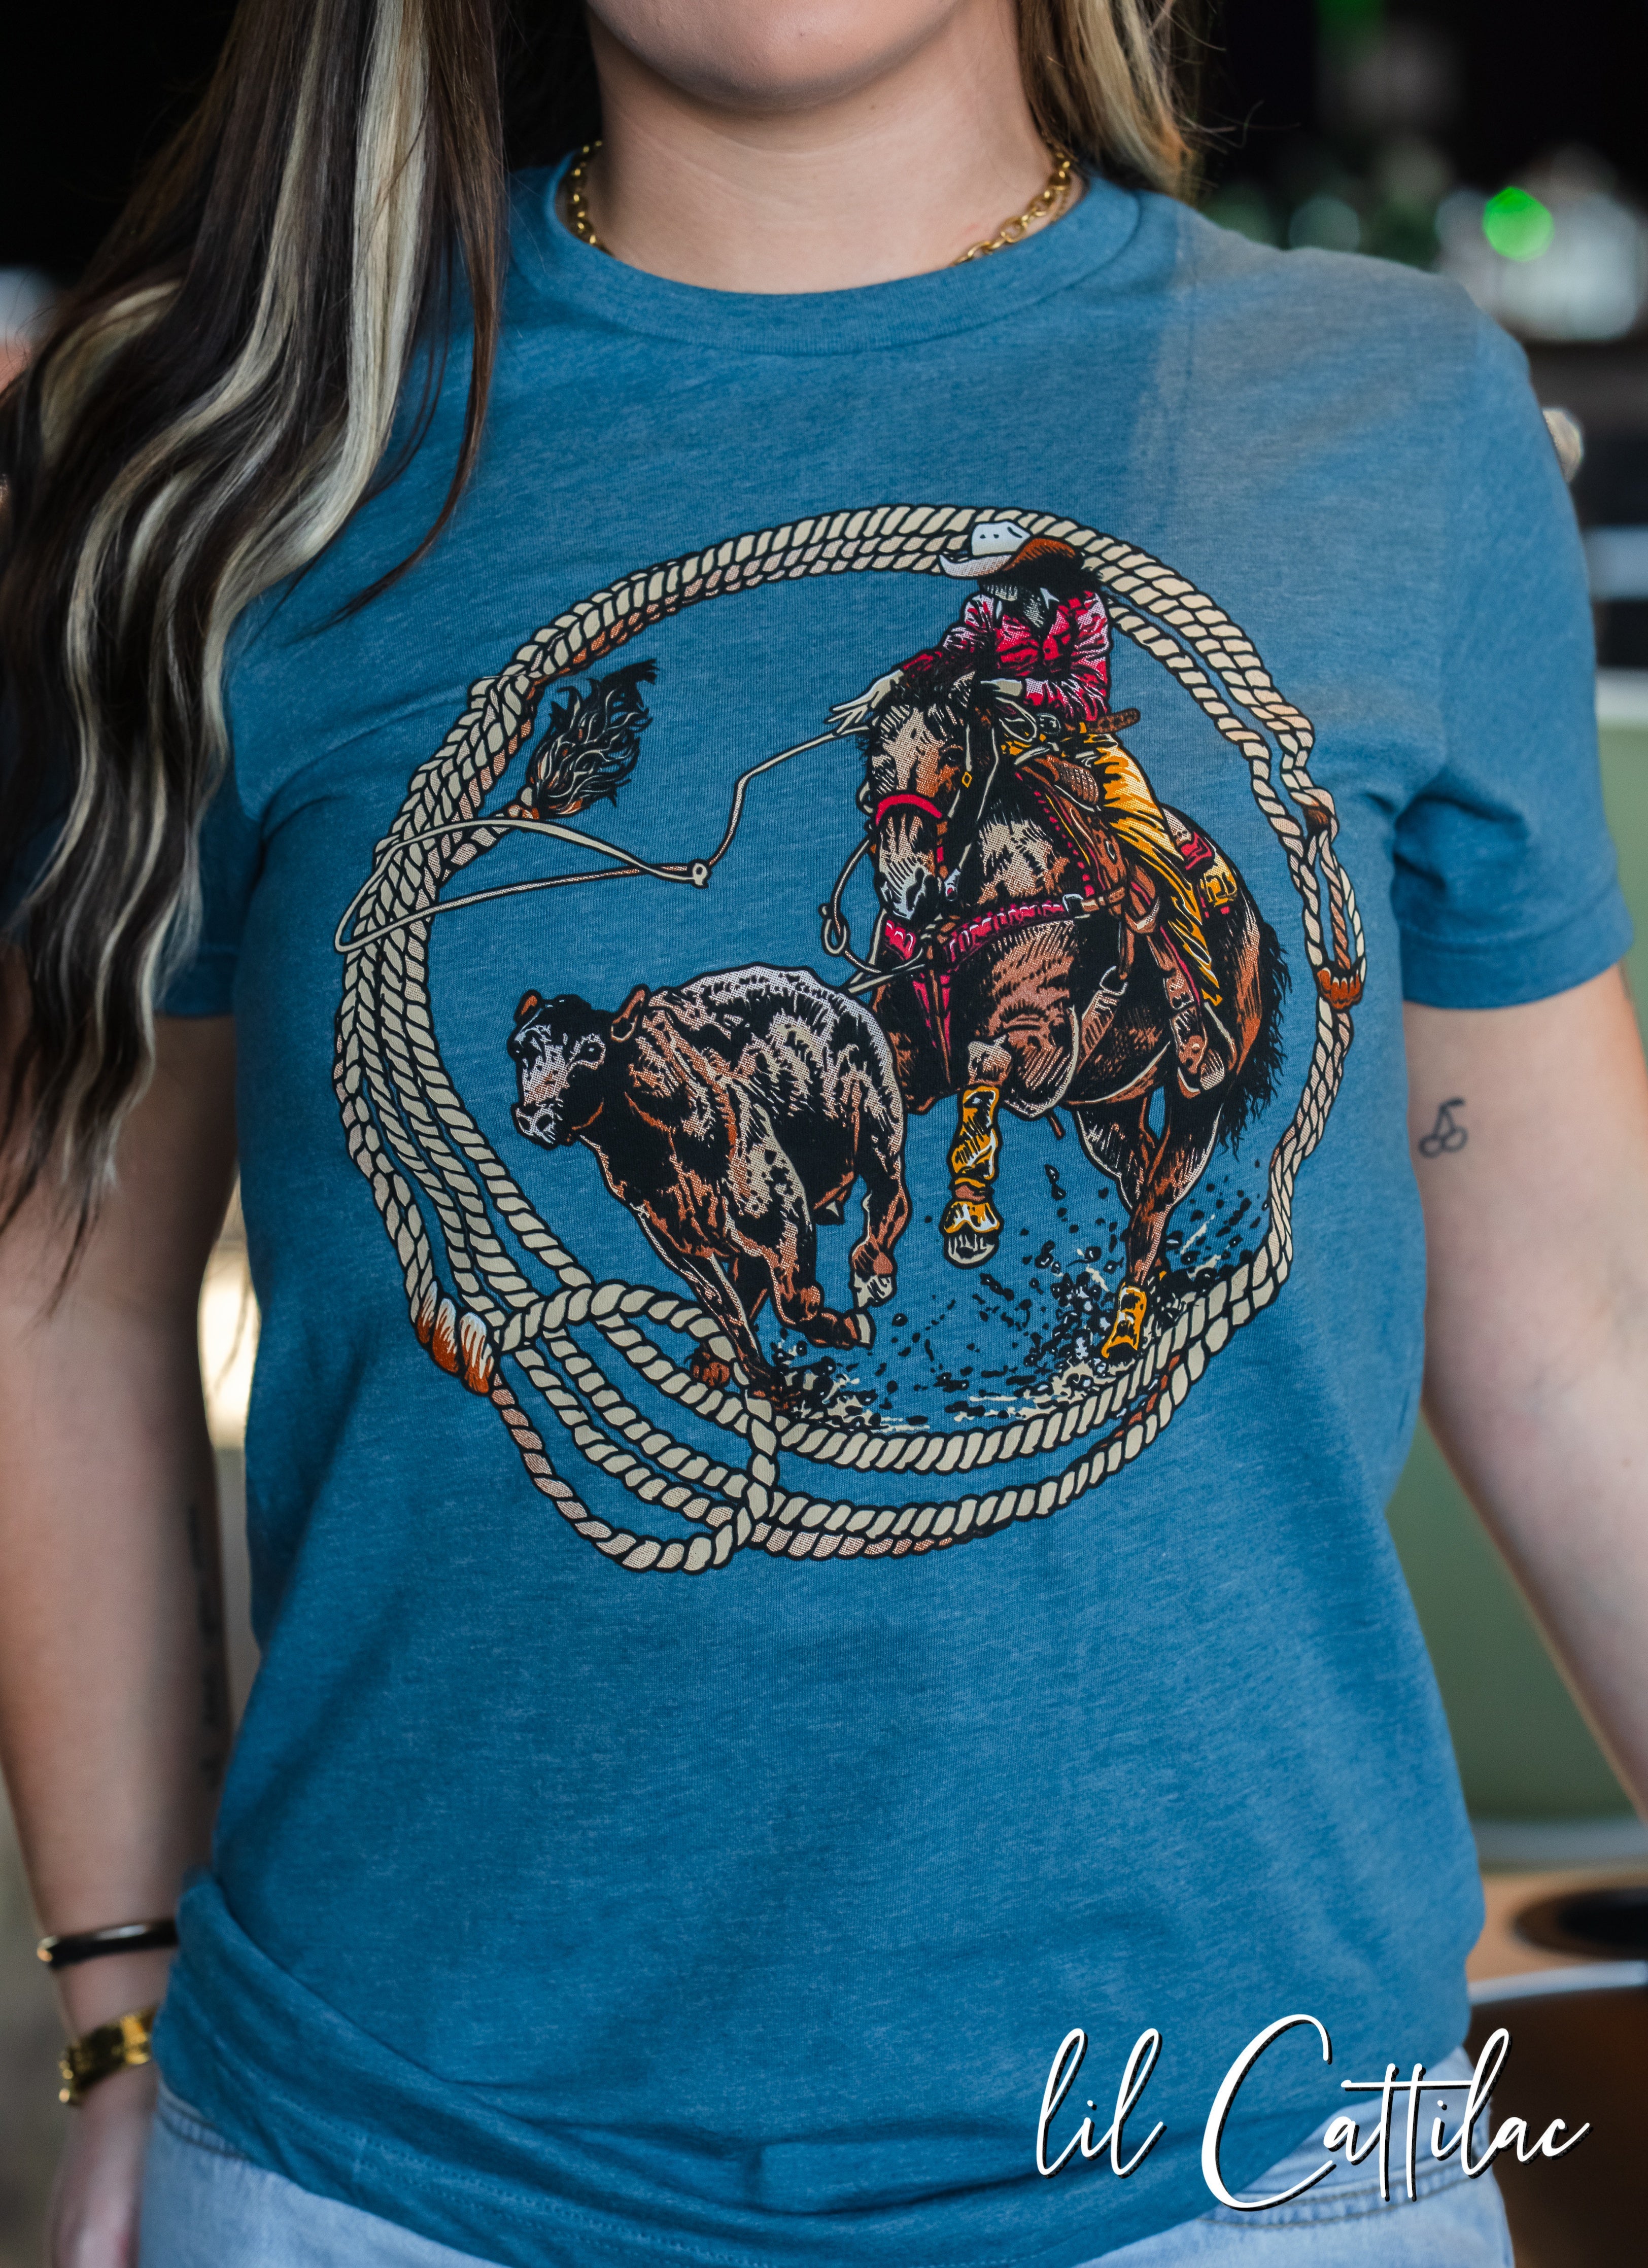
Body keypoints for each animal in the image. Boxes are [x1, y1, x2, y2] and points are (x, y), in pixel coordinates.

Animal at [842, 676, 1287, 1362]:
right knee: (1137, 1176)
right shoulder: (909, 1057)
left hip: (1198, 1103)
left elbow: (986, 1067)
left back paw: (1126, 1329)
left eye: (953, 752)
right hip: (1110, 1113)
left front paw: (970, 1214)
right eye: (877, 762)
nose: (905, 887)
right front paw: (871, 1252)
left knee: (1151, 1209)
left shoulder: (1039, 1045)